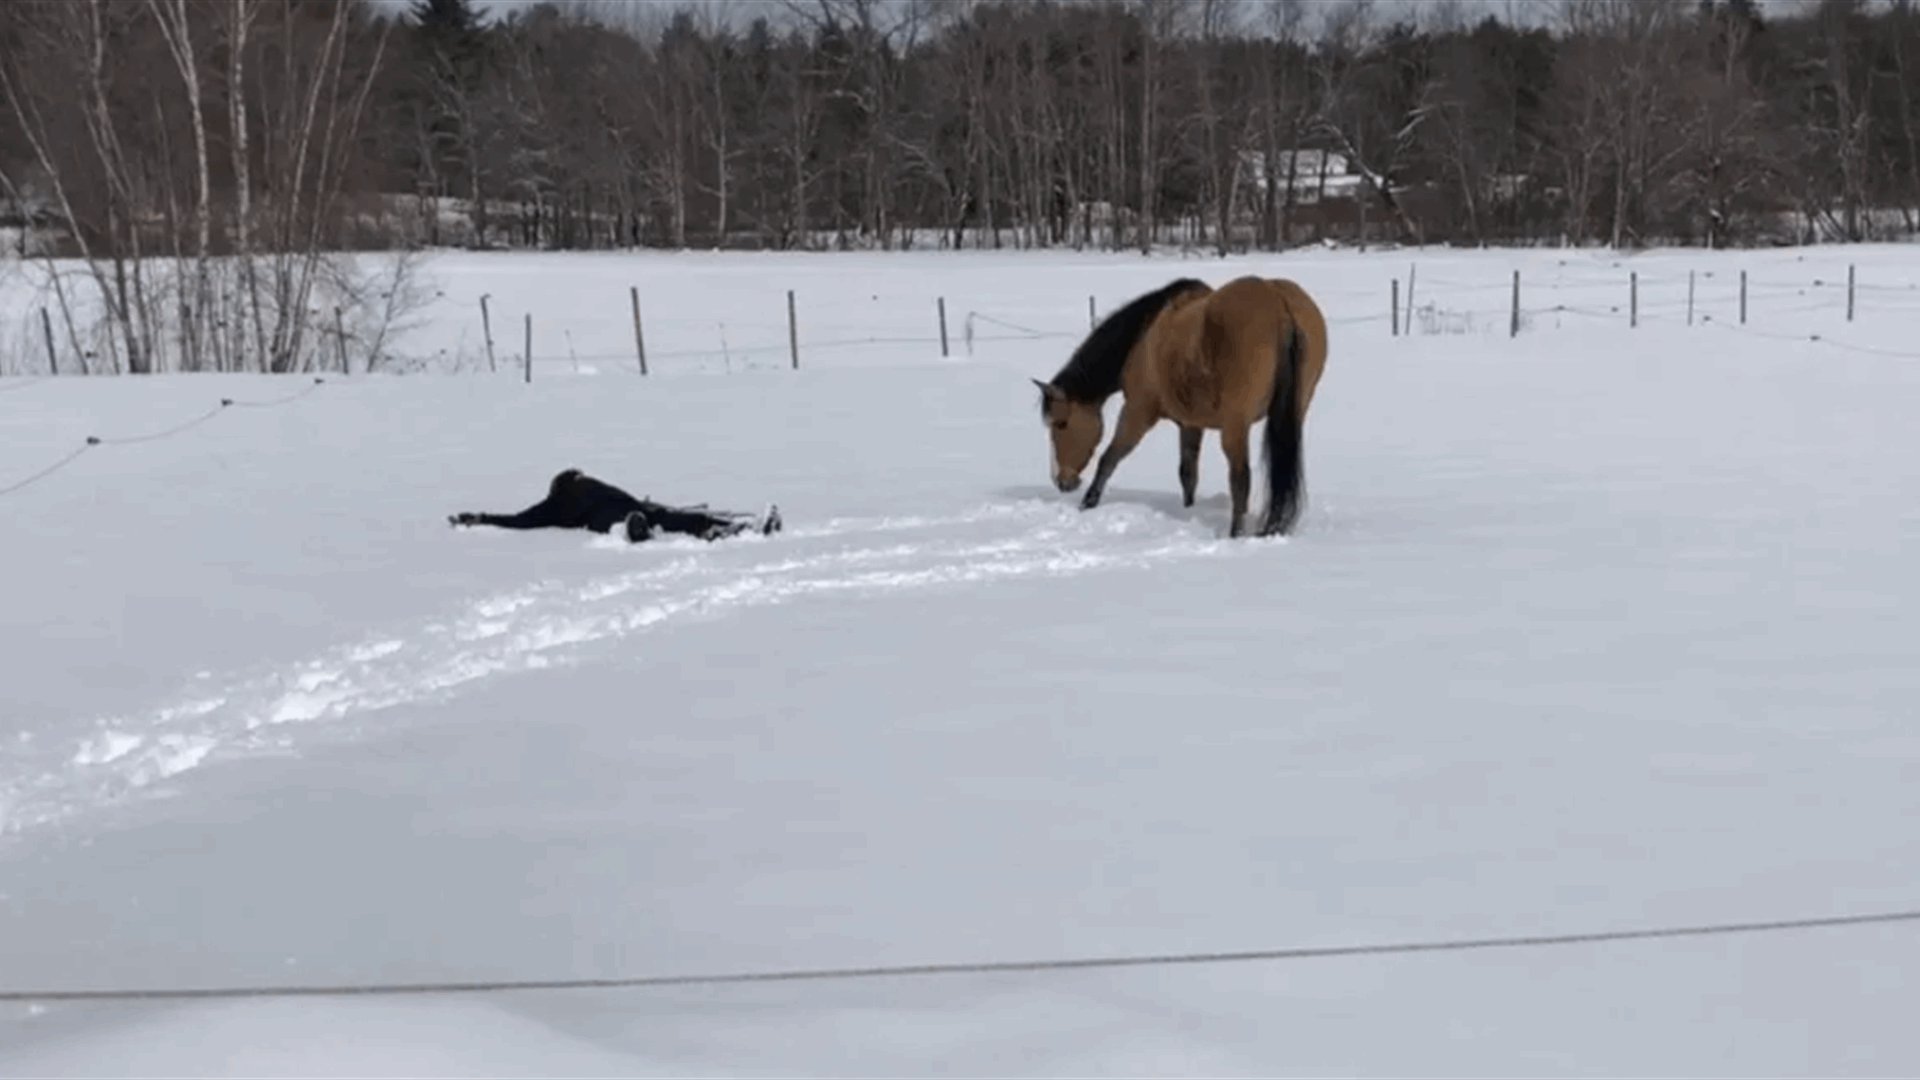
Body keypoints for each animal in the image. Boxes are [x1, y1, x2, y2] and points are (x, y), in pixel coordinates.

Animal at [1029, 272, 1328, 534]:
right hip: (1292, 414)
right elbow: (1188, 474)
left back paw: (1235, 534)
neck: (1143, 337)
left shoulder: (1138, 412)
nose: (1061, 481)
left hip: (1235, 425)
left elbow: (1109, 459)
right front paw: (1188, 510)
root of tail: (1277, 301)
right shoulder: (1190, 424)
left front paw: (1088, 504)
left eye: (1061, 424)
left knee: (1240, 479)